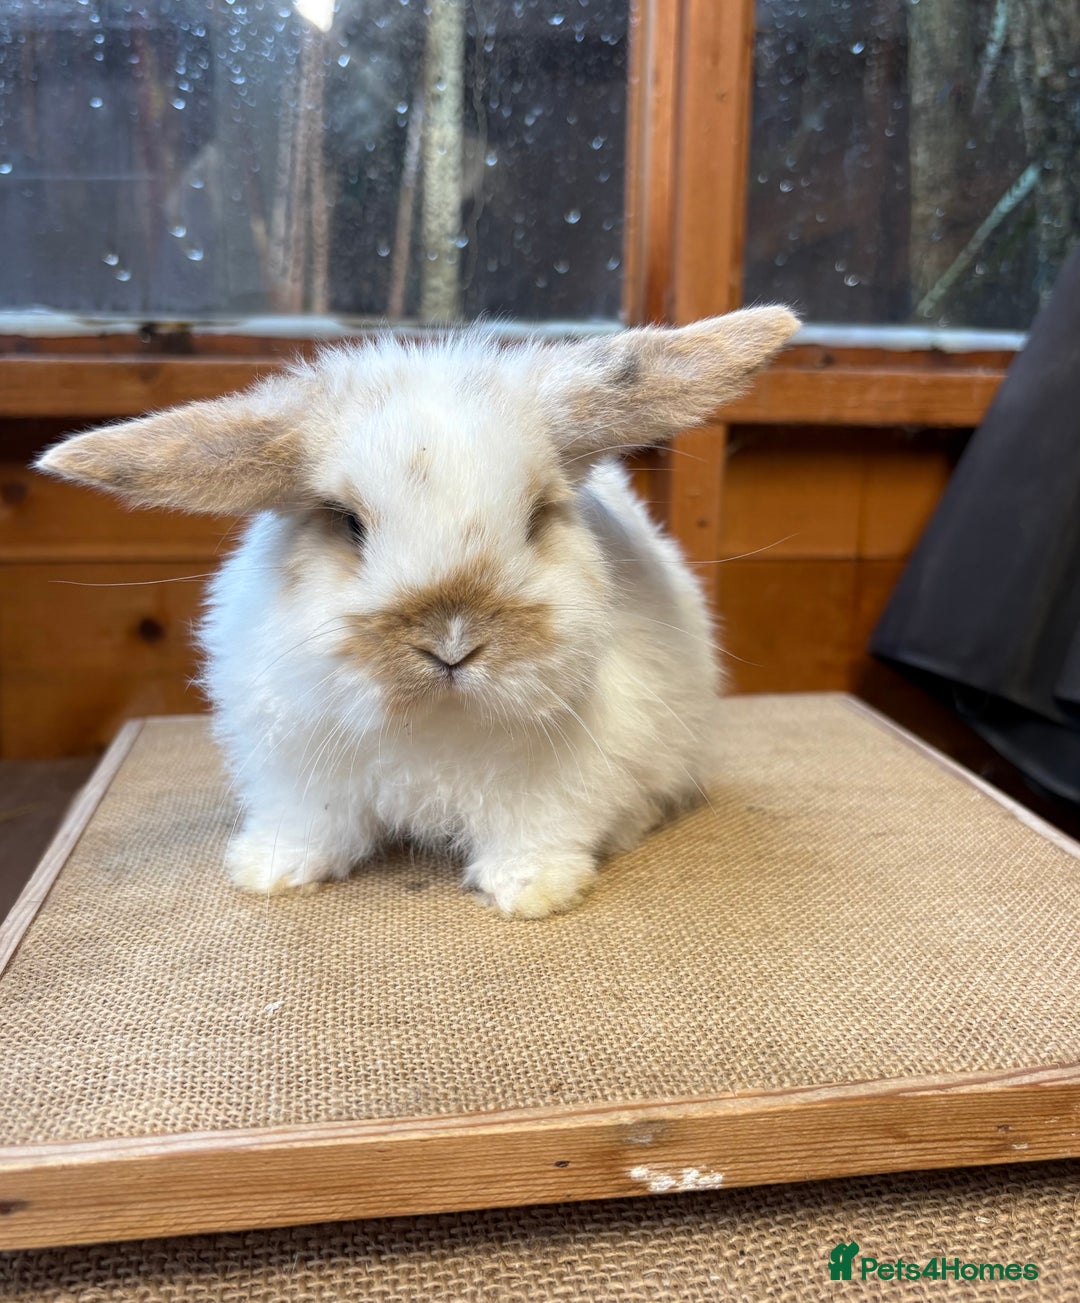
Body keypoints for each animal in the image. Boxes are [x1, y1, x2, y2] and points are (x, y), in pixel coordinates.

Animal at [37, 307, 798, 917]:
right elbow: (307, 824)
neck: (435, 722)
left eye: (537, 517)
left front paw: (531, 892)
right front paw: (270, 872)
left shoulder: (554, 790)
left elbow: (535, 835)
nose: (452, 644)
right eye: (346, 522)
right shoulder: (296, 774)